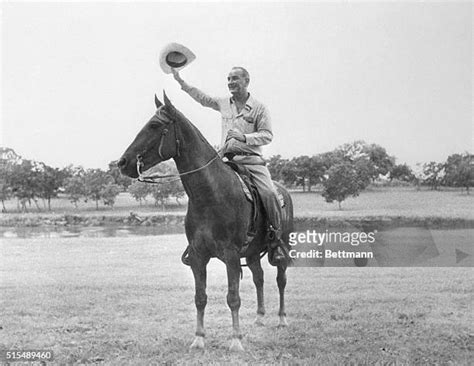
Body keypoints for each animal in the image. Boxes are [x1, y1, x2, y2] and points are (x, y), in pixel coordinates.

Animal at [117, 93, 292, 350]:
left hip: (281, 248)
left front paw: (236, 340)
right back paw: (260, 317)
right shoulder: (199, 256)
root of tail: (283, 192)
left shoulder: (230, 255)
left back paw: (281, 318)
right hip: (251, 253)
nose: (122, 163)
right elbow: (200, 298)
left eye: (155, 125)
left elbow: (233, 297)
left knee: (281, 280)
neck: (212, 195)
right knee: (259, 278)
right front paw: (199, 338)